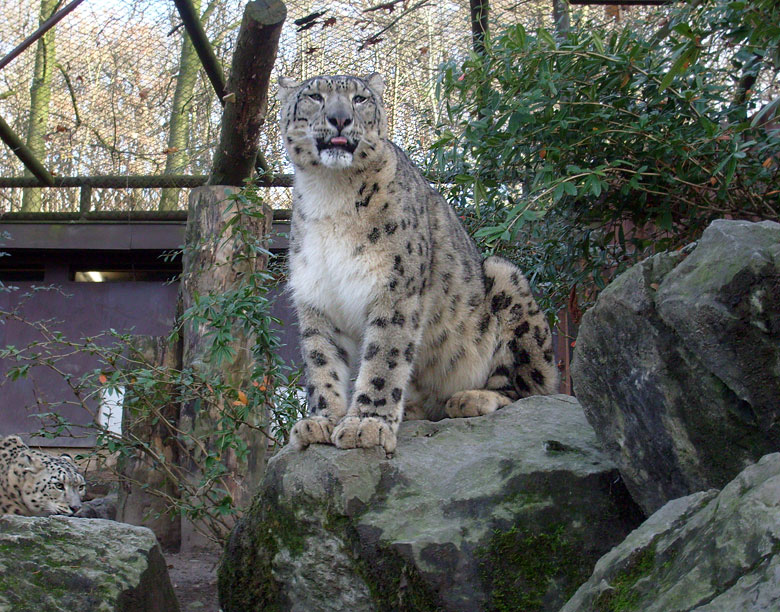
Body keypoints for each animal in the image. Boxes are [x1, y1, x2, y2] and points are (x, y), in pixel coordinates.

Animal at [278, 71, 556, 454]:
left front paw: (366, 424)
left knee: (531, 389)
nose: (340, 119)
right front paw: (322, 420)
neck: (329, 193)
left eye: (360, 99)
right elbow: (322, 361)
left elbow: (384, 357)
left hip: (507, 281)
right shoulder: (316, 296)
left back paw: (471, 399)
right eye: (315, 97)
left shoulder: (395, 287)